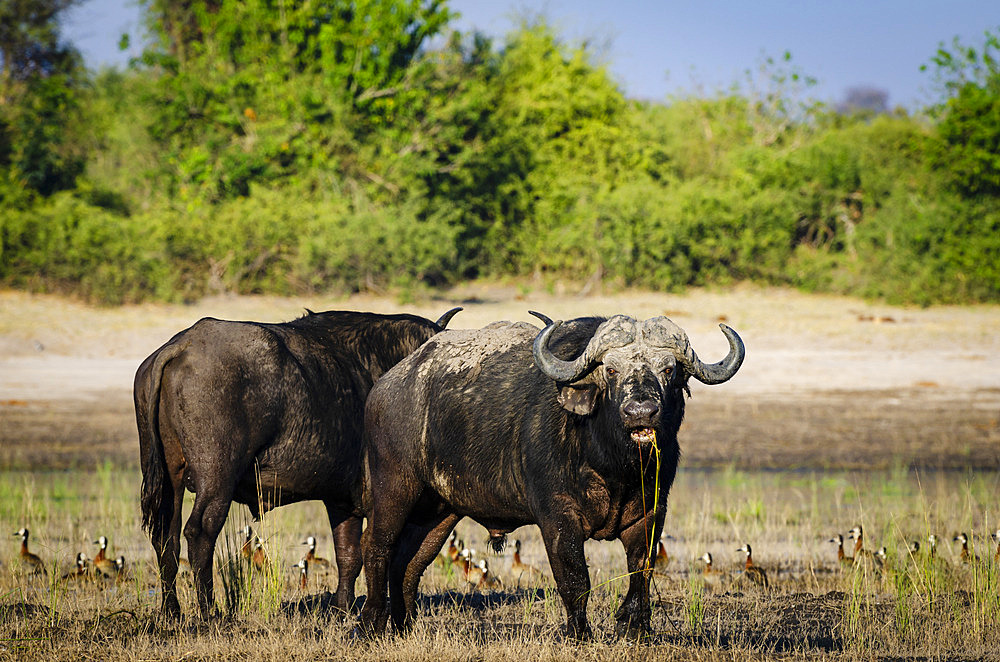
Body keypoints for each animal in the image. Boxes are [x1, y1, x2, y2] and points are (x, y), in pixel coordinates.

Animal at [134, 308, 460, 620]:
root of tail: (183, 344)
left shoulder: (342, 500)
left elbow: (348, 555)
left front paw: (341, 608)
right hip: (216, 479)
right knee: (200, 532)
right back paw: (209, 613)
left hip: (170, 479)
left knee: (166, 537)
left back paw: (171, 611)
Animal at [360, 314, 744, 640]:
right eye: (611, 370)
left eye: (667, 369)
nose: (641, 411)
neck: (613, 466)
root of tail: (384, 387)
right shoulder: (557, 517)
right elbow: (575, 577)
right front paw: (580, 634)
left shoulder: (651, 513)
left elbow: (642, 571)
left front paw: (633, 628)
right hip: (394, 487)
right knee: (378, 546)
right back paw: (372, 624)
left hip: (440, 510)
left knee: (410, 561)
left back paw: (404, 626)